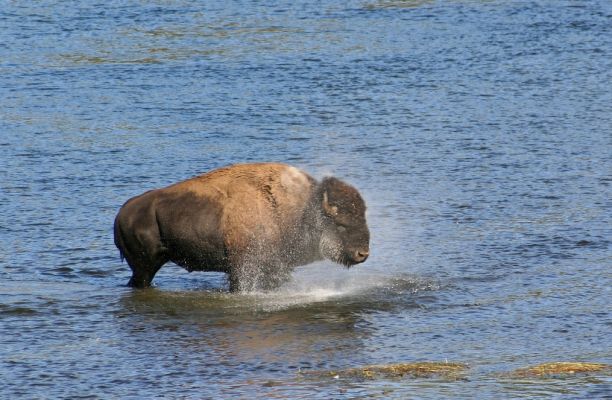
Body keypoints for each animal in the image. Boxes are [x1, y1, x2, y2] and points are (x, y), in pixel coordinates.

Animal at [114, 162, 370, 290]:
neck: (302, 210)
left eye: (364, 216)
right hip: (144, 266)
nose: (363, 254)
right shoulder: (242, 268)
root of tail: (121, 215)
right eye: (341, 224)